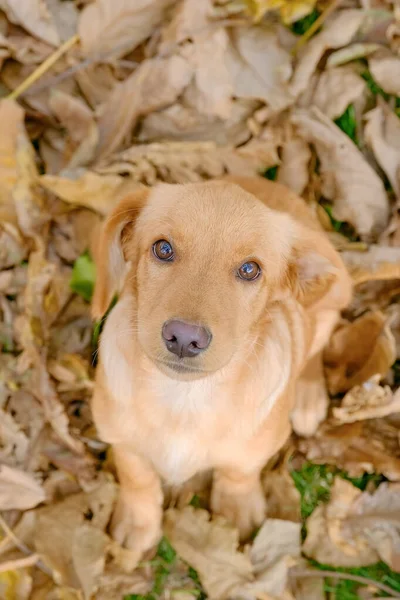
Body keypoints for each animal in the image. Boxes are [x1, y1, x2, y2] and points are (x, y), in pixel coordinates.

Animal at [91, 176, 354, 556]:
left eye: (249, 269)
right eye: (163, 249)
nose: (185, 338)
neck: (183, 399)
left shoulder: (253, 450)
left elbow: (238, 473)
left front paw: (236, 509)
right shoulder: (119, 438)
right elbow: (136, 476)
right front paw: (138, 521)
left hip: (327, 305)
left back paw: (308, 398)